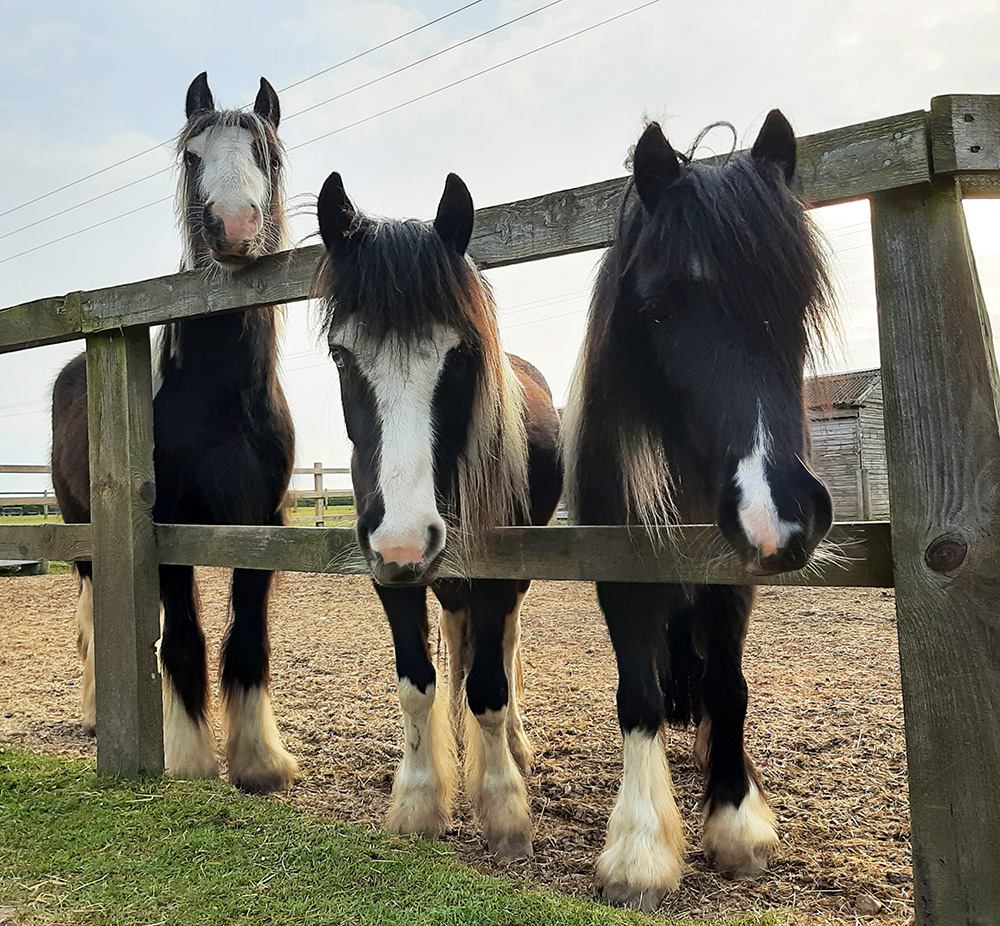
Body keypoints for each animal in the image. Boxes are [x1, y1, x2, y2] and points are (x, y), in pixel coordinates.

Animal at [314, 170, 564, 860]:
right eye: (342, 354)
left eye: (461, 353)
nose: (406, 540)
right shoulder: (387, 571)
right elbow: (417, 681)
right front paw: (420, 800)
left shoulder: (497, 571)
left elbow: (490, 686)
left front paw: (504, 807)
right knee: (457, 641)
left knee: (503, 647)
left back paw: (515, 745)